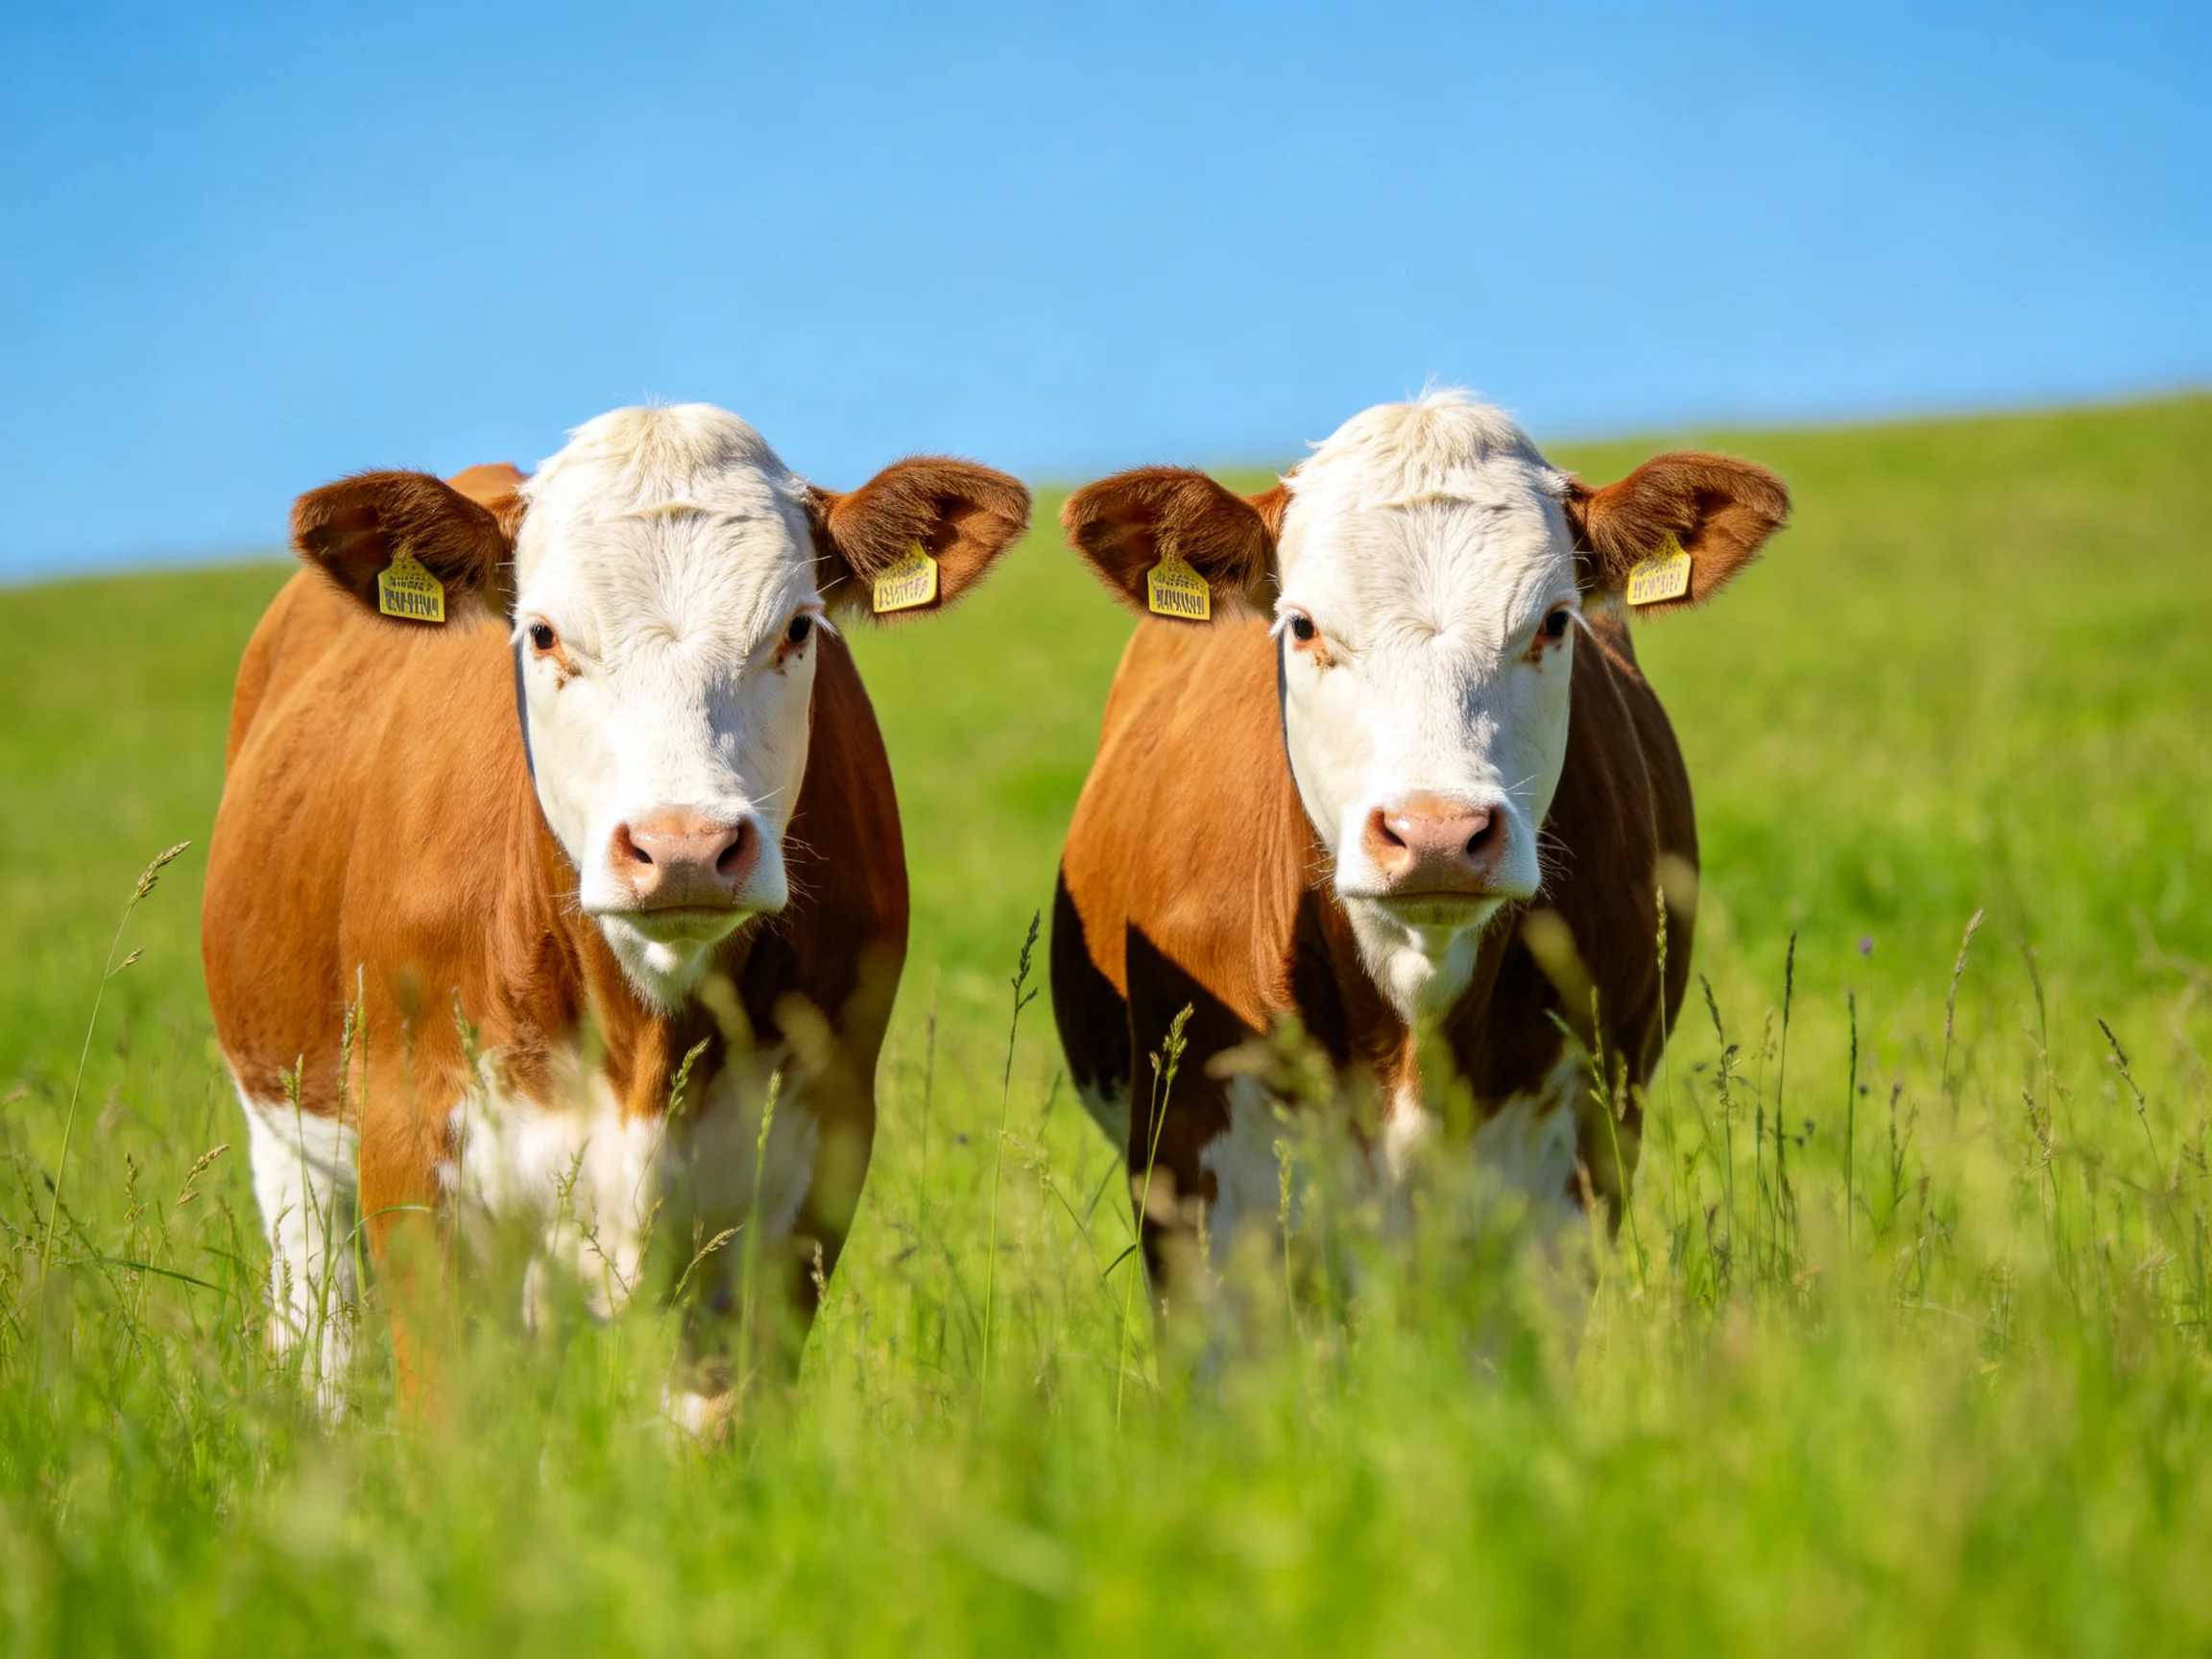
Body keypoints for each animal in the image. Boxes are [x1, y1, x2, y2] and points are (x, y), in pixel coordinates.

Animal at [202, 404, 1029, 1419]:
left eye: (798, 628)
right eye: (544, 634)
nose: (685, 848)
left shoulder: (804, 1173)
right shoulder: (415, 1157)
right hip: (288, 1138)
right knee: (320, 1336)